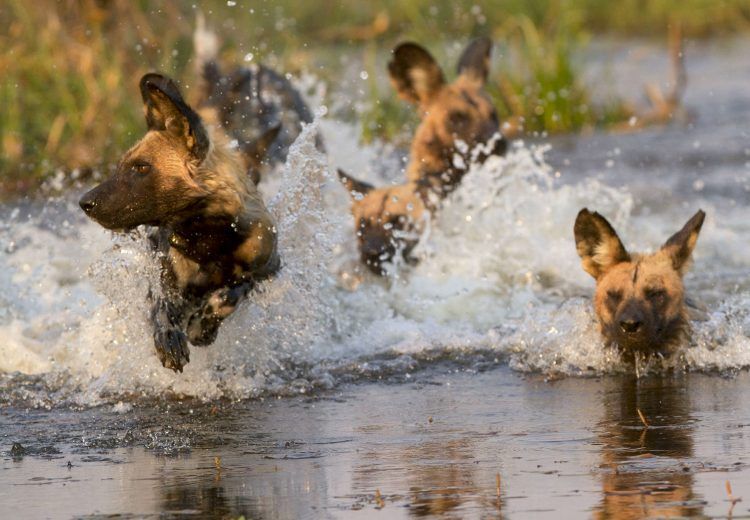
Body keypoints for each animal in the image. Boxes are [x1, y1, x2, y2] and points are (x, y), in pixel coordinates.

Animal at [79, 74, 280, 374]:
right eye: (120, 166)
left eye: (141, 167)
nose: (84, 202)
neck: (209, 237)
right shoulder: (164, 281)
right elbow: (161, 309)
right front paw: (169, 339)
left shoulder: (264, 271)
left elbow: (229, 295)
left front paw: (202, 326)